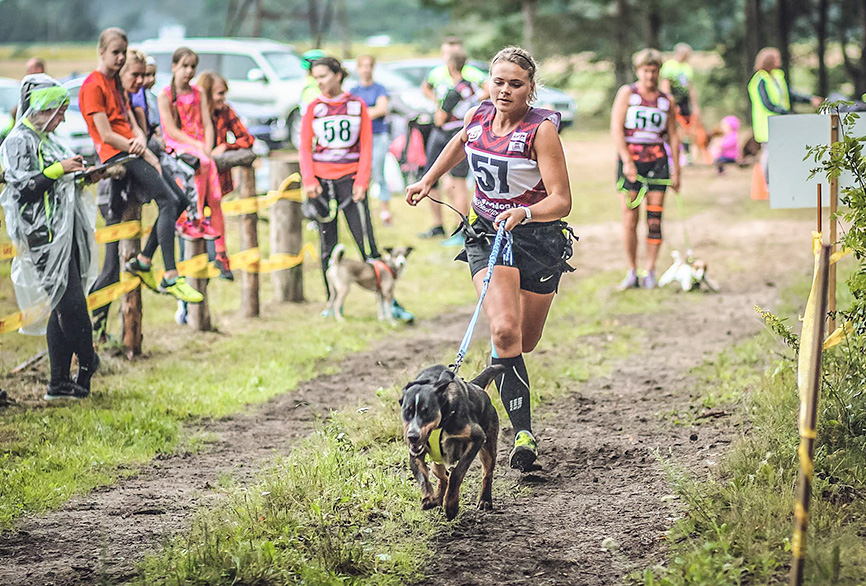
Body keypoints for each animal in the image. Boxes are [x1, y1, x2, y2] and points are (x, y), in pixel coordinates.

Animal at [396, 362, 500, 516]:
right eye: (407, 411)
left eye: (426, 412)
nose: (412, 436)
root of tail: (477, 387)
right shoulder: (416, 452)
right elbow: (422, 476)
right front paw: (429, 498)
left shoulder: (477, 437)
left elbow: (457, 473)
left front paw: (451, 505)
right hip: (437, 460)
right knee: (441, 475)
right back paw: (438, 497)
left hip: (488, 445)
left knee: (487, 472)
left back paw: (485, 500)